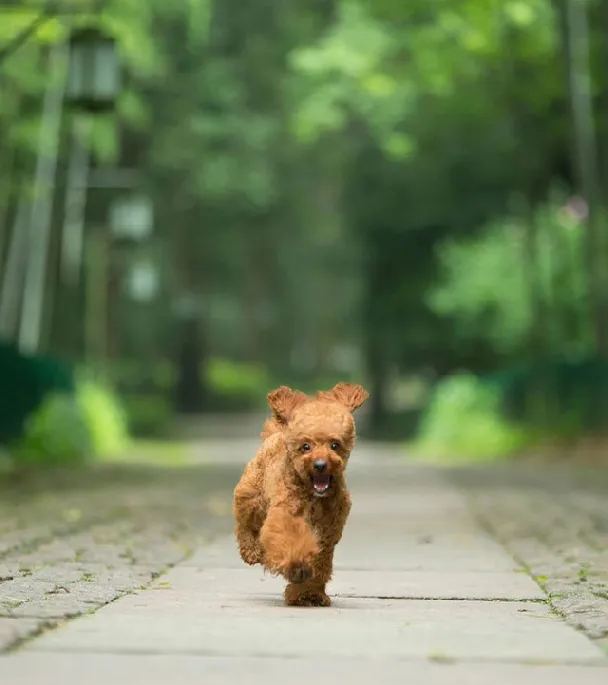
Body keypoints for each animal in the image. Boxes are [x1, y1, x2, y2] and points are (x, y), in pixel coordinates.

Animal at [232, 382, 366, 608]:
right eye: (306, 446)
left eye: (334, 444)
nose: (320, 465)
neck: (313, 495)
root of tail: (278, 432)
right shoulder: (286, 513)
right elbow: (290, 539)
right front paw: (297, 566)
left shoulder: (327, 533)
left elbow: (320, 564)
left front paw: (308, 593)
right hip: (252, 495)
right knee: (246, 523)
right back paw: (251, 551)